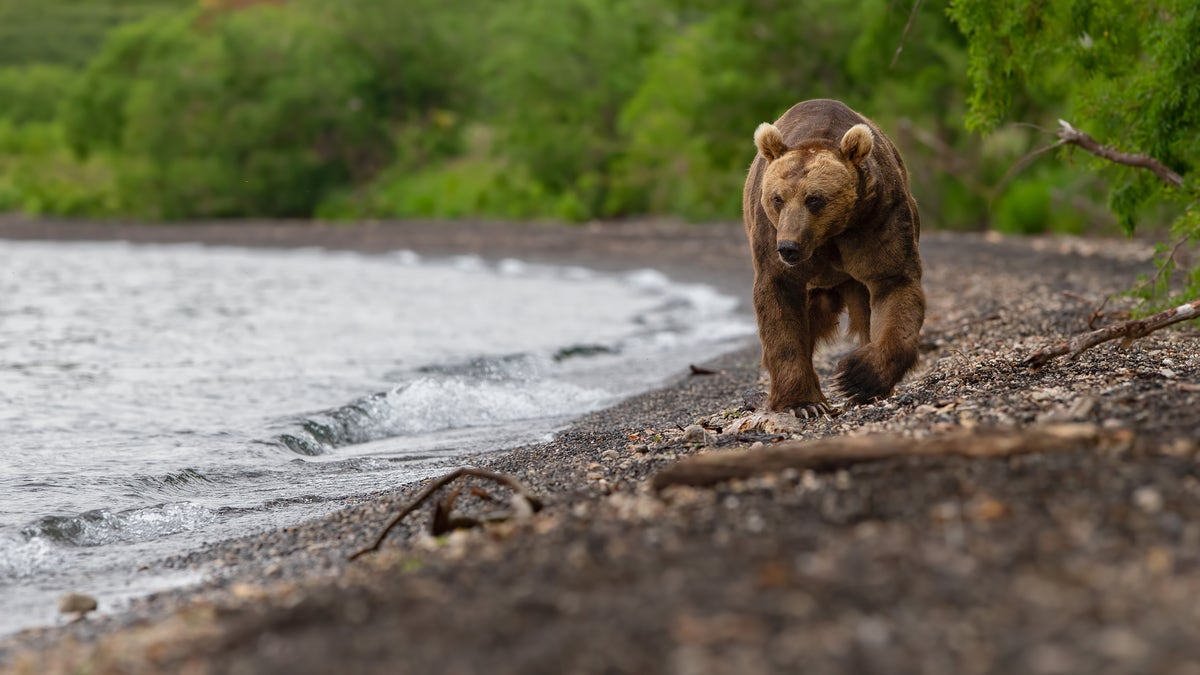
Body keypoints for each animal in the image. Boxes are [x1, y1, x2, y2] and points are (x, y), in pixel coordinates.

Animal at [739, 97, 926, 413]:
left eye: (814, 198)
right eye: (777, 198)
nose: (788, 247)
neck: (827, 237)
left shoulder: (876, 219)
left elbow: (894, 284)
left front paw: (856, 378)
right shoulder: (769, 236)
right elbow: (779, 302)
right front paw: (802, 402)